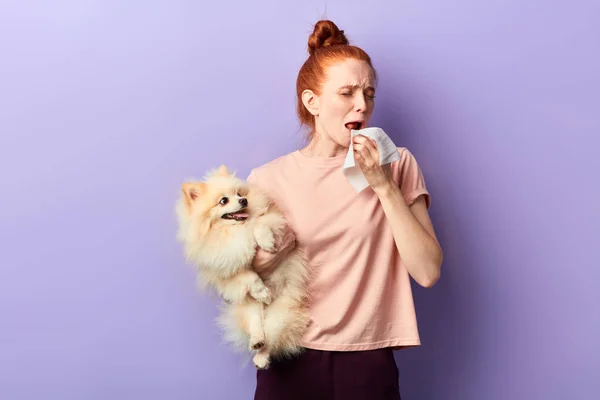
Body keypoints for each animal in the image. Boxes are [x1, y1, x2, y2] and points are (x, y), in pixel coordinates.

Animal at [175, 165, 310, 368]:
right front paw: (261, 291)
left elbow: (259, 224)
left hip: (282, 311)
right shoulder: (222, 268)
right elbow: (247, 275)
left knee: (271, 336)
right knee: (256, 324)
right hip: (249, 306)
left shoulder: (275, 219)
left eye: (239, 194)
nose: (243, 200)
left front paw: (266, 242)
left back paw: (261, 356)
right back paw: (257, 340)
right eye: (223, 201)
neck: (234, 231)